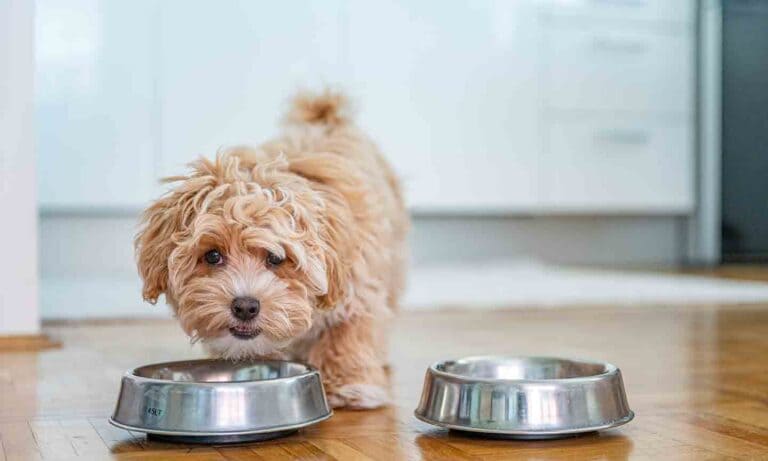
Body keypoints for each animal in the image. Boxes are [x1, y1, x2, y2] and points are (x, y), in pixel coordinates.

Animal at [134, 89, 408, 406]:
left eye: (276, 258)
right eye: (212, 256)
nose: (245, 307)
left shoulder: (358, 289)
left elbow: (347, 333)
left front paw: (347, 384)